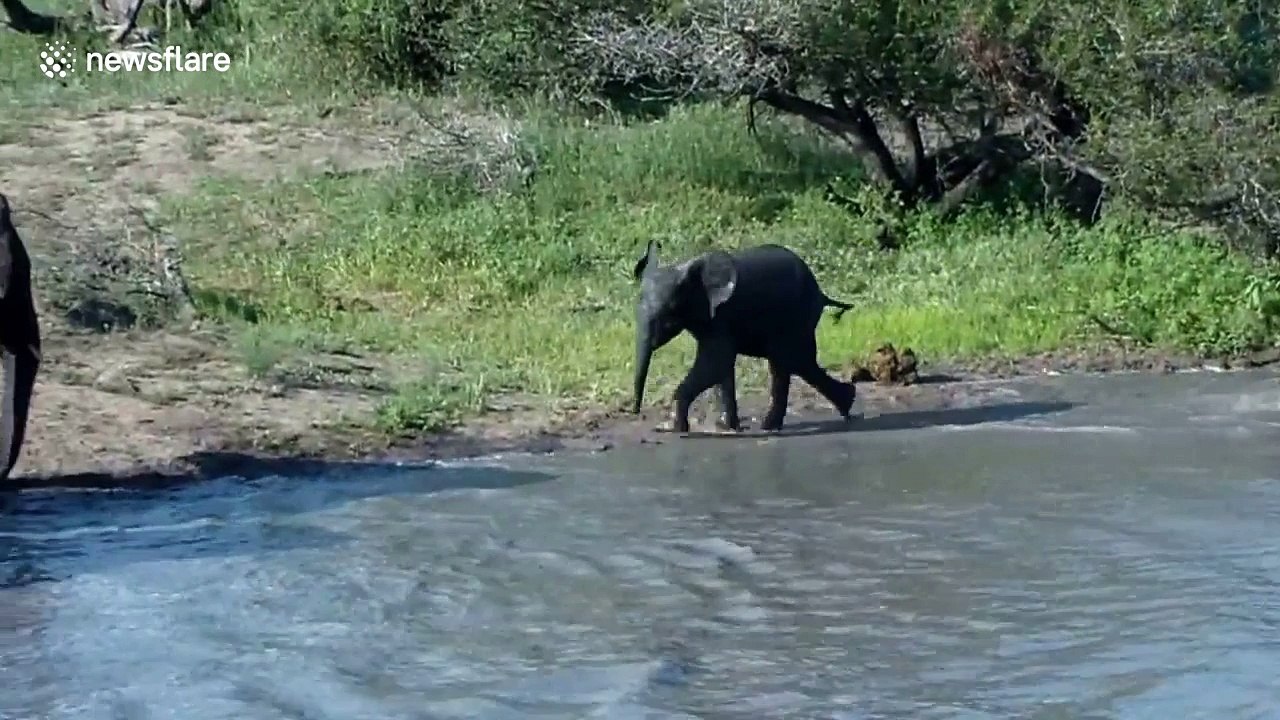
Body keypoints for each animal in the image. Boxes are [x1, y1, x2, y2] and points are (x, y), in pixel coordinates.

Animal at [630, 240, 857, 433]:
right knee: (793, 363)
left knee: (793, 361)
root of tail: (821, 292)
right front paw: (727, 427)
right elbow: (721, 368)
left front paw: (679, 429)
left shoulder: (721, 314)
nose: (635, 411)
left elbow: (715, 362)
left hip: (797, 316)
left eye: (669, 312)